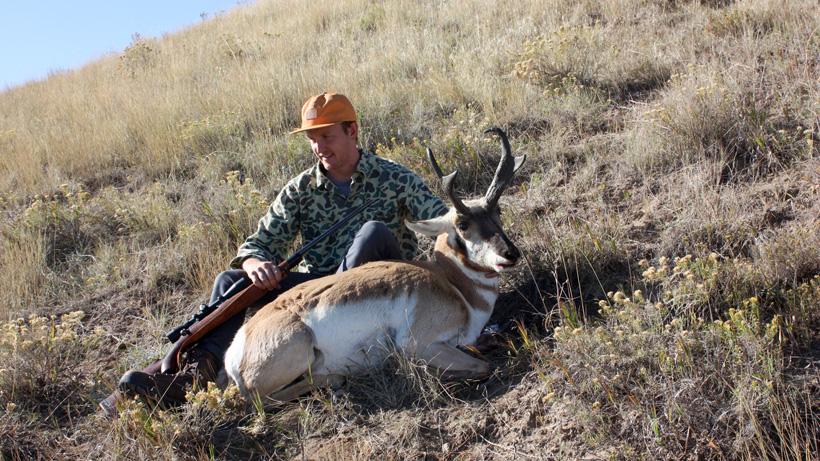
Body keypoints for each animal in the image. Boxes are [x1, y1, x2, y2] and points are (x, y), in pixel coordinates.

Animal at [223, 128, 526, 401]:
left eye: (498, 211)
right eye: (462, 224)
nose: (510, 254)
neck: (454, 286)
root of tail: (237, 346)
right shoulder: (420, 344)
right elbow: (482, 365)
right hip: (301, 345)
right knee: (261, 399)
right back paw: (338, 379)